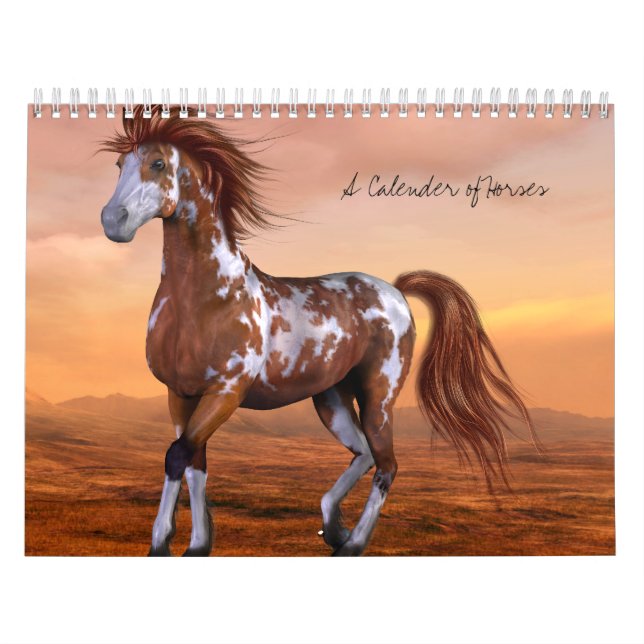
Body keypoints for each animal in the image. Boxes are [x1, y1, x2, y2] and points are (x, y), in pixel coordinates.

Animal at [100, 105, 535, 556]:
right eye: (118, 165)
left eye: (158, 163)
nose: (113, 221)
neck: (205, 299)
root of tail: (396, 289)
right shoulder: (181, 393)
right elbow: (193, 461)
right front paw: (197, 544)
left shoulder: (226, 391)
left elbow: (177, 455)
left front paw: (163, 544)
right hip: (332, 398)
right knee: (363, 453)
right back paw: (332, 526)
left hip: (379, 397)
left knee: (386, 464)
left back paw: (352, 543)